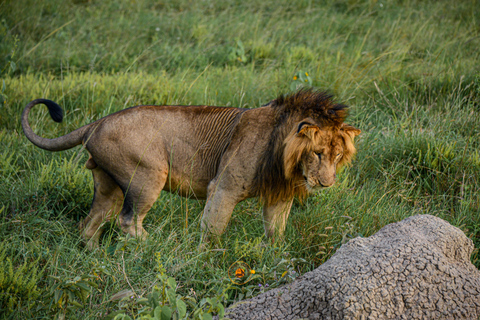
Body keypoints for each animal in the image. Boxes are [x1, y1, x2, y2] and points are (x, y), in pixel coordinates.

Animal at [22, 89, 360, 249]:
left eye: (337, 155)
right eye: (317, 153)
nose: (327, 184)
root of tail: (97, 122)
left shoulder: (279, 197)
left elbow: (276, 231)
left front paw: (273, 258)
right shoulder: (223, 186)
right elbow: (213, 227)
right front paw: (206, 259)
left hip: (109, 185)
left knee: (90, 223)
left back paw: (95, 257)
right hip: (148, 175)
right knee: (128, 221)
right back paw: (158, 247)